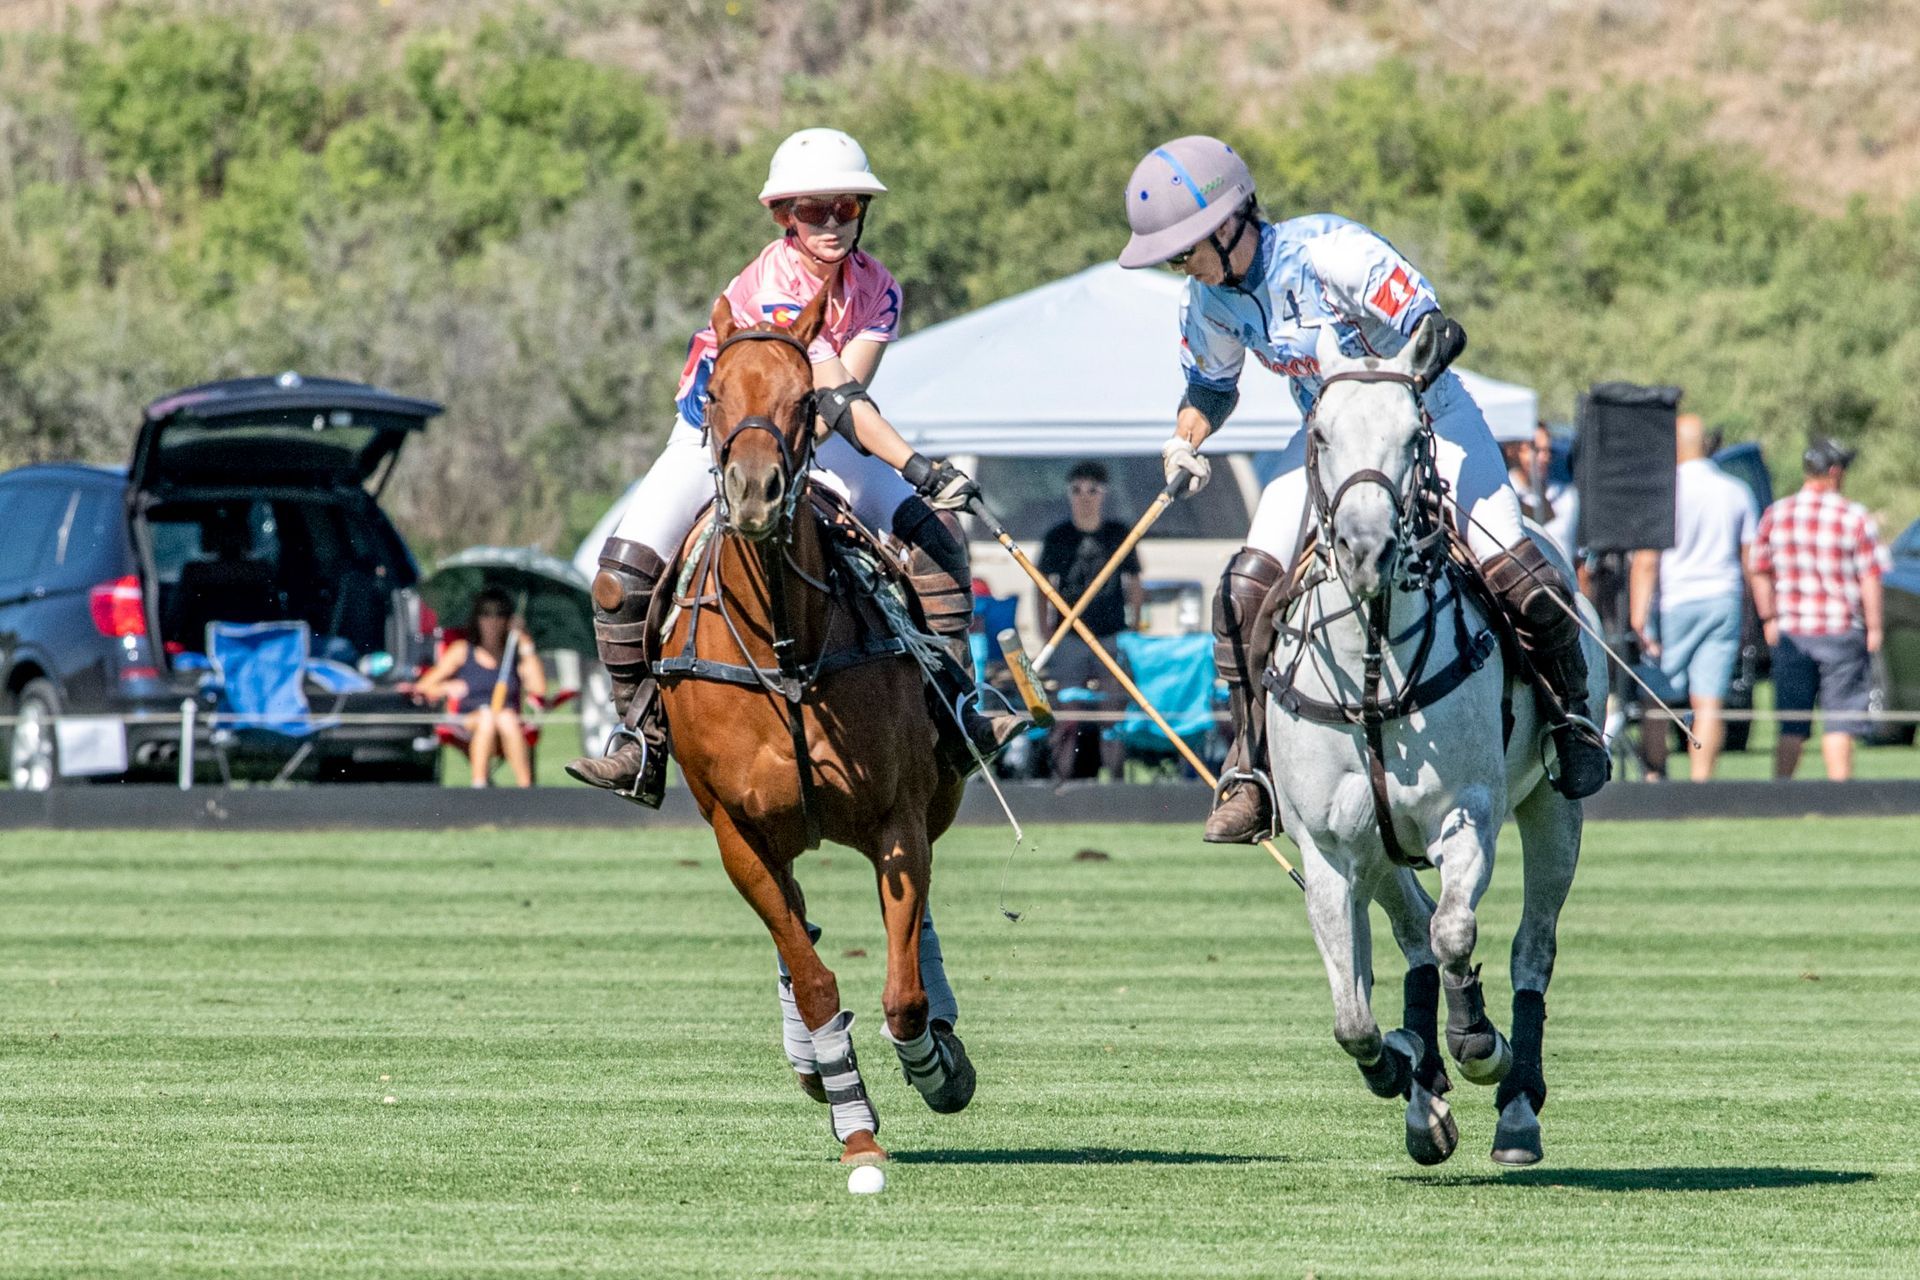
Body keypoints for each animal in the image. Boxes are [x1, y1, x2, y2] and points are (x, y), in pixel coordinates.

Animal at [654, 282, 975, 1165]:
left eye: (805, 400)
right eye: (714, 396)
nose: (754, 493)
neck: (786, 648)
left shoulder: (898, 820)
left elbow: (901, 992)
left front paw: (937, 1069)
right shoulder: (738, 835)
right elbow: (813, 976)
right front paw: (853, 1121)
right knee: (798, 936)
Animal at [1263, 321, 1605, 1167]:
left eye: (1413, 434)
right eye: (1320, 434)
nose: (1365, 550)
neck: (1372, 670)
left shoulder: (1467, 816)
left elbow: (1458, 932)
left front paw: (1478, 1044)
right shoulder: (1329, 848)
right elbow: (1352, 1015)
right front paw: (1398, 1064)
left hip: (1555, 809)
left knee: (1529, 947)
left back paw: (1516, 1109)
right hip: (1381, 846)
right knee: (1412, 935)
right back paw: (1422, 1096)